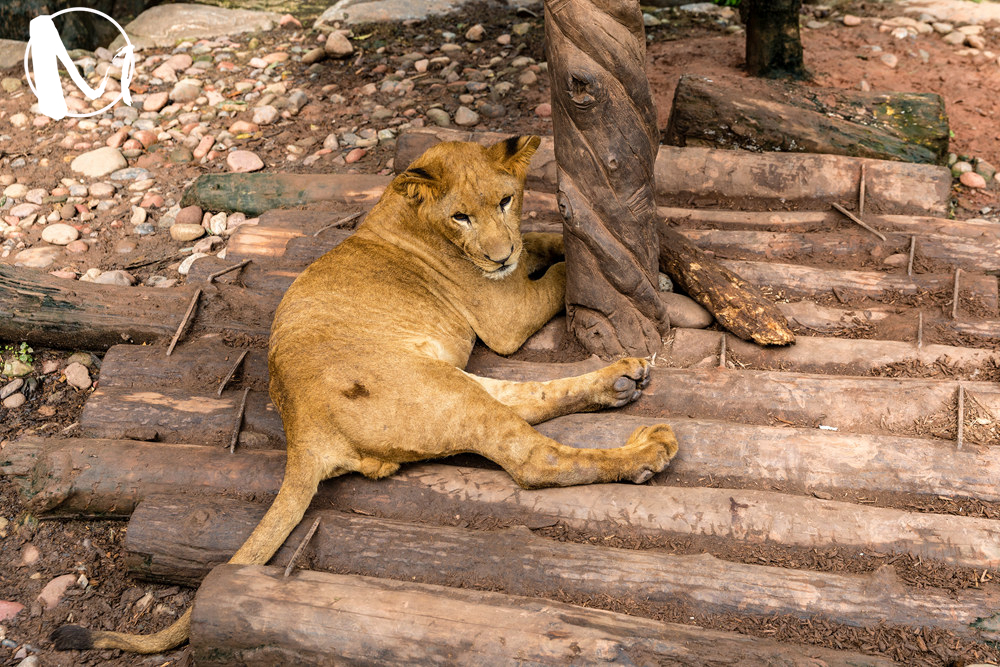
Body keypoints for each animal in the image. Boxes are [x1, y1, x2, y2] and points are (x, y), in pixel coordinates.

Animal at [52, 134, 680, 652]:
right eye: (461, 216)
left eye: (505, 200)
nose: (498, 256)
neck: (410, 214)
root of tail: (302, 430)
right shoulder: (504, 319)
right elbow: (555, 275)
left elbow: (543, 240)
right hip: (441, 387)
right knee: (534, 459)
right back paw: (645, 452)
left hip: (449, 382)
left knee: (530, 401)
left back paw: (619, 381)